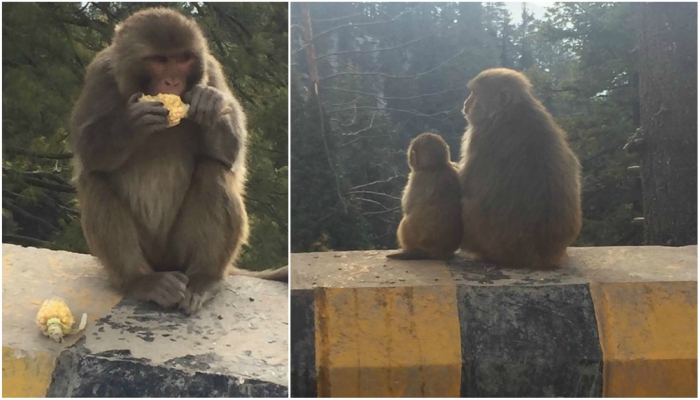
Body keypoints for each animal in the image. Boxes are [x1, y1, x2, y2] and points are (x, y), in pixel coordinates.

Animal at [72, 7, 288, 316]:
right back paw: (141, 281)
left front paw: (210, 104)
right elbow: (88, 152)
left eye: (183, 59)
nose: (173, 82)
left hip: (179, 251)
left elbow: (231, 156)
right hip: (151, 254)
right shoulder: (99, 73)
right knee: (94, 180)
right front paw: (132, 122)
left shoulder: (212, 70)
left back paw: (204, 279)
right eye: (160, 60)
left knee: (213, 170)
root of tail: (165, 263)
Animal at [456, 68, 584, 268]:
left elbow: (462, 184)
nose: (466, 104)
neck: (511, 109)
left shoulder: (479, 135)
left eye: (475, 94)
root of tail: (538, 256)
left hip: (481, 237)